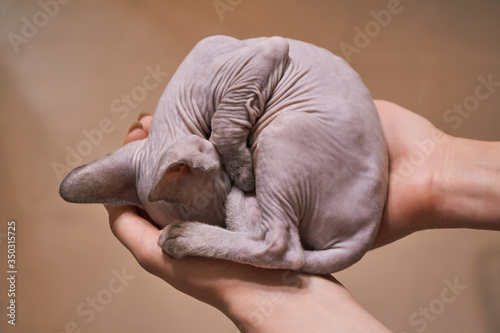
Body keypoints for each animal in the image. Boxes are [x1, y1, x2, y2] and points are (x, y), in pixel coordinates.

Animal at [60, 35, 388, 272]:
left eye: (220, 192)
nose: (224, 222)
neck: (183, 93)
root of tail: (366, 230)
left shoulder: (268, 51)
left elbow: (223, 122)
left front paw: (243, 172)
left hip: (282, 131)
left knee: (282, 247)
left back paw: (187, 237)